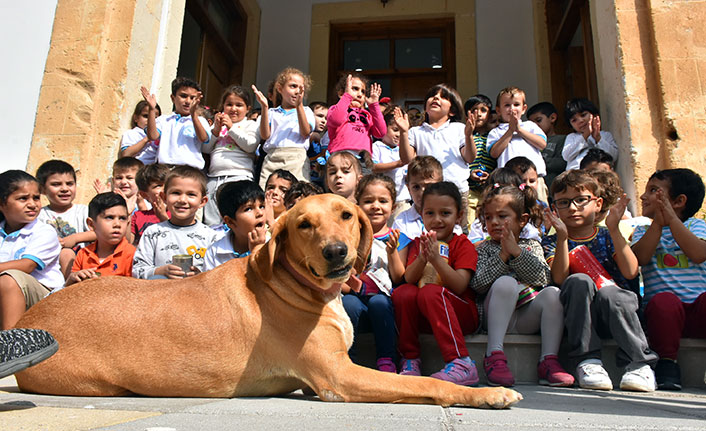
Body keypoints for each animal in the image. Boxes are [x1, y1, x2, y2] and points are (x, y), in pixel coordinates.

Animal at [12, 196, 516, 408]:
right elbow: (426, 383)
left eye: (346, 215)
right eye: (303, 225)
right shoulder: (338, 379)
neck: (296, 286)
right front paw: (485, 393)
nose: (337, 252)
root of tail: (30, 320)